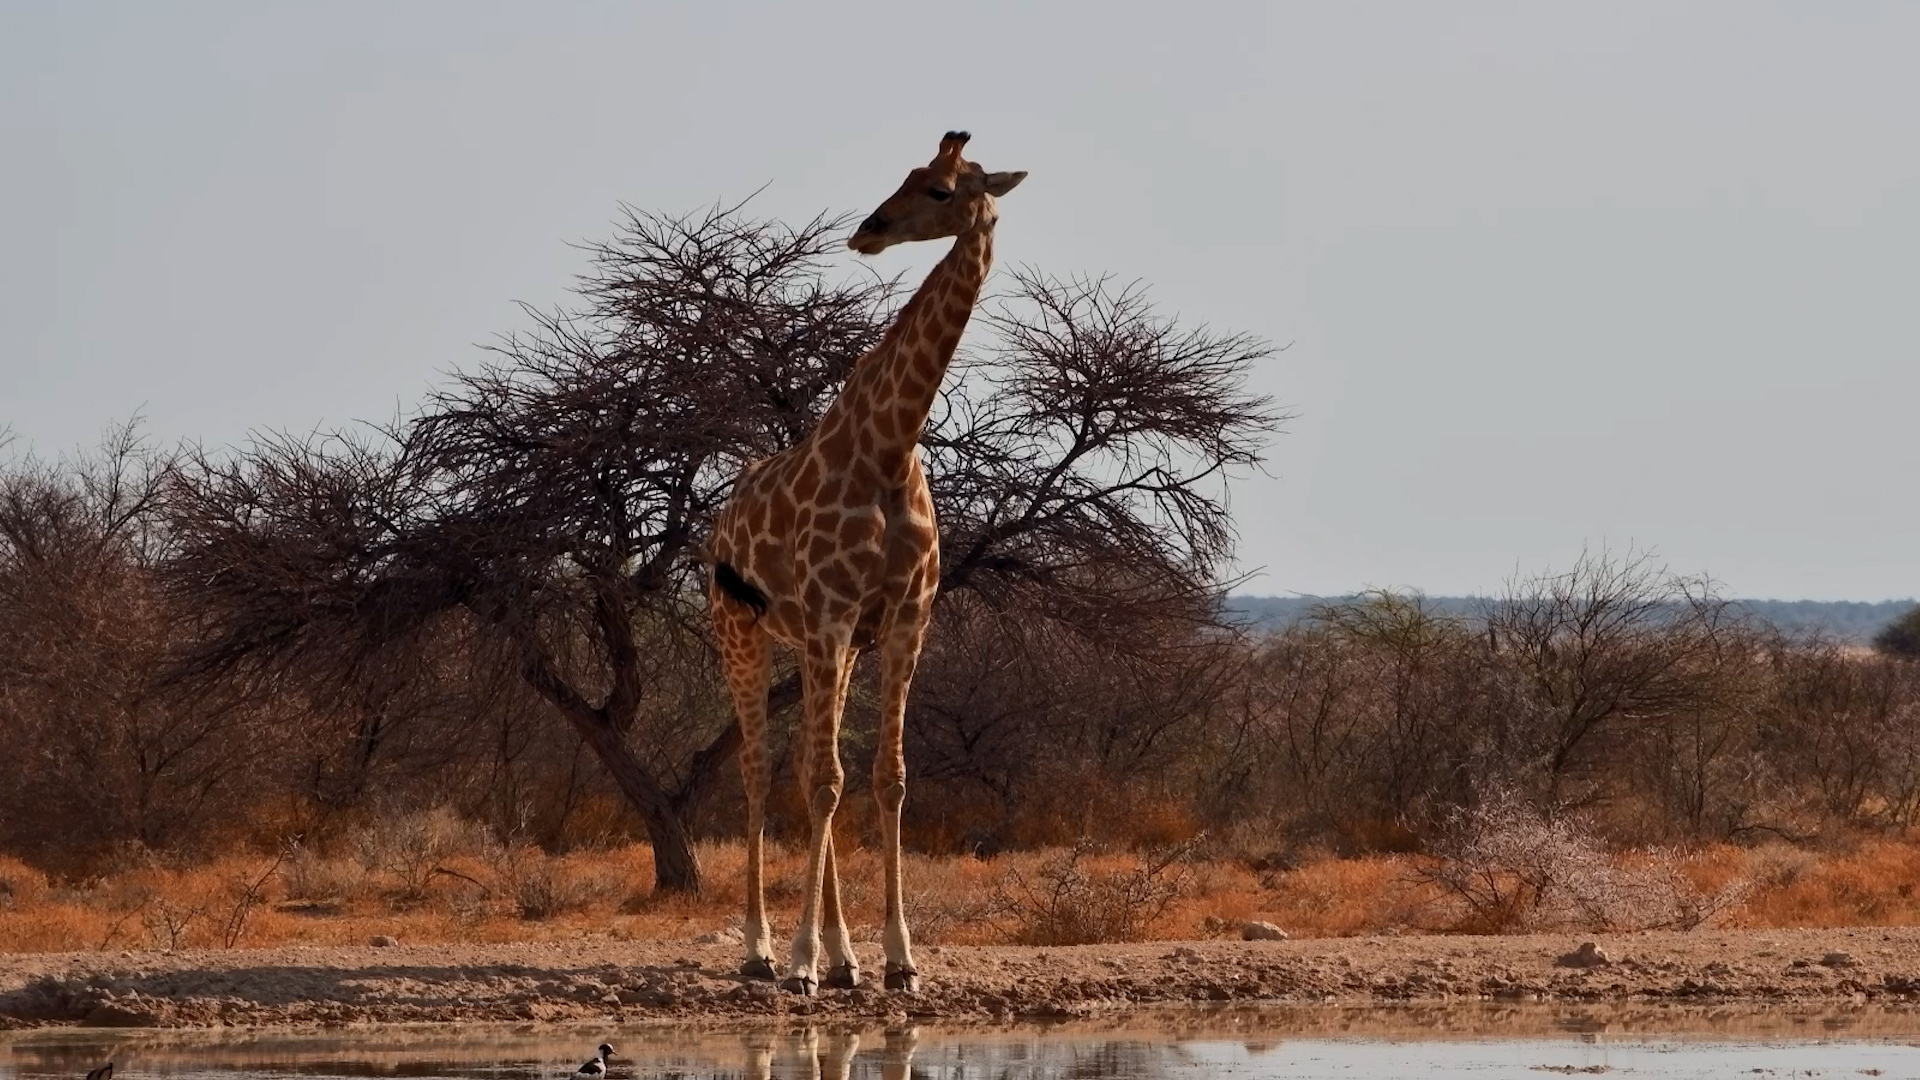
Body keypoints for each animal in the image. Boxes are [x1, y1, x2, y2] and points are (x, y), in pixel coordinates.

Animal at [708, 131, 1025, 995]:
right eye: (908, 176)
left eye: (944, 189)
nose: (867, 231)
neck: (888, 446)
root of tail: (719, 521)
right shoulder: (829, 614)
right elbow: (822, 782)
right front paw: (801, 962)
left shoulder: (902, 621)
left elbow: (885, 779)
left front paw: (895, 958)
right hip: (742, 632)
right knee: (759, 770)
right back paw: (759, 950)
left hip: (837, 648)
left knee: (811, 769)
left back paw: (842, 956)